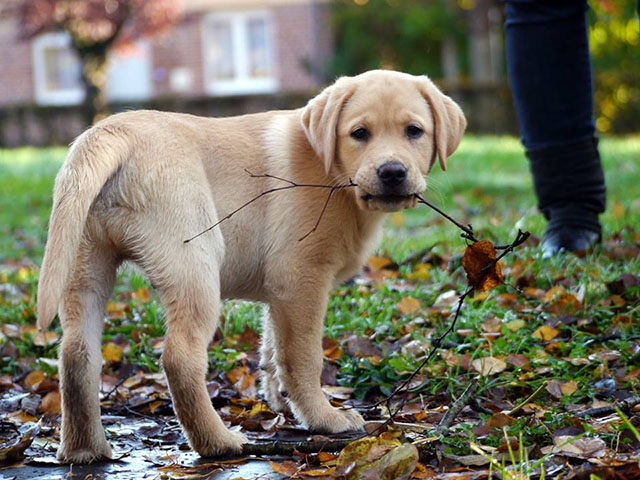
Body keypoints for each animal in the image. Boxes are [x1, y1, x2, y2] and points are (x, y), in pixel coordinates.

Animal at [37, 69, 464, 464]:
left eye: (414, 131)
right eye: (359, 133)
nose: (392, 172)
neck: (331, 173)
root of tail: (112, 132)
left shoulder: (280, 294)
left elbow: (273, 350)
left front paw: (281, 401)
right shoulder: (300, 280)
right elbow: (303, 357)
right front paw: (323, 417)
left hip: (83, 262)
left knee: (76, 355)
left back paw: (83, 450)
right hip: (195, 261)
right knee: (179, 358)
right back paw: (217, 442)